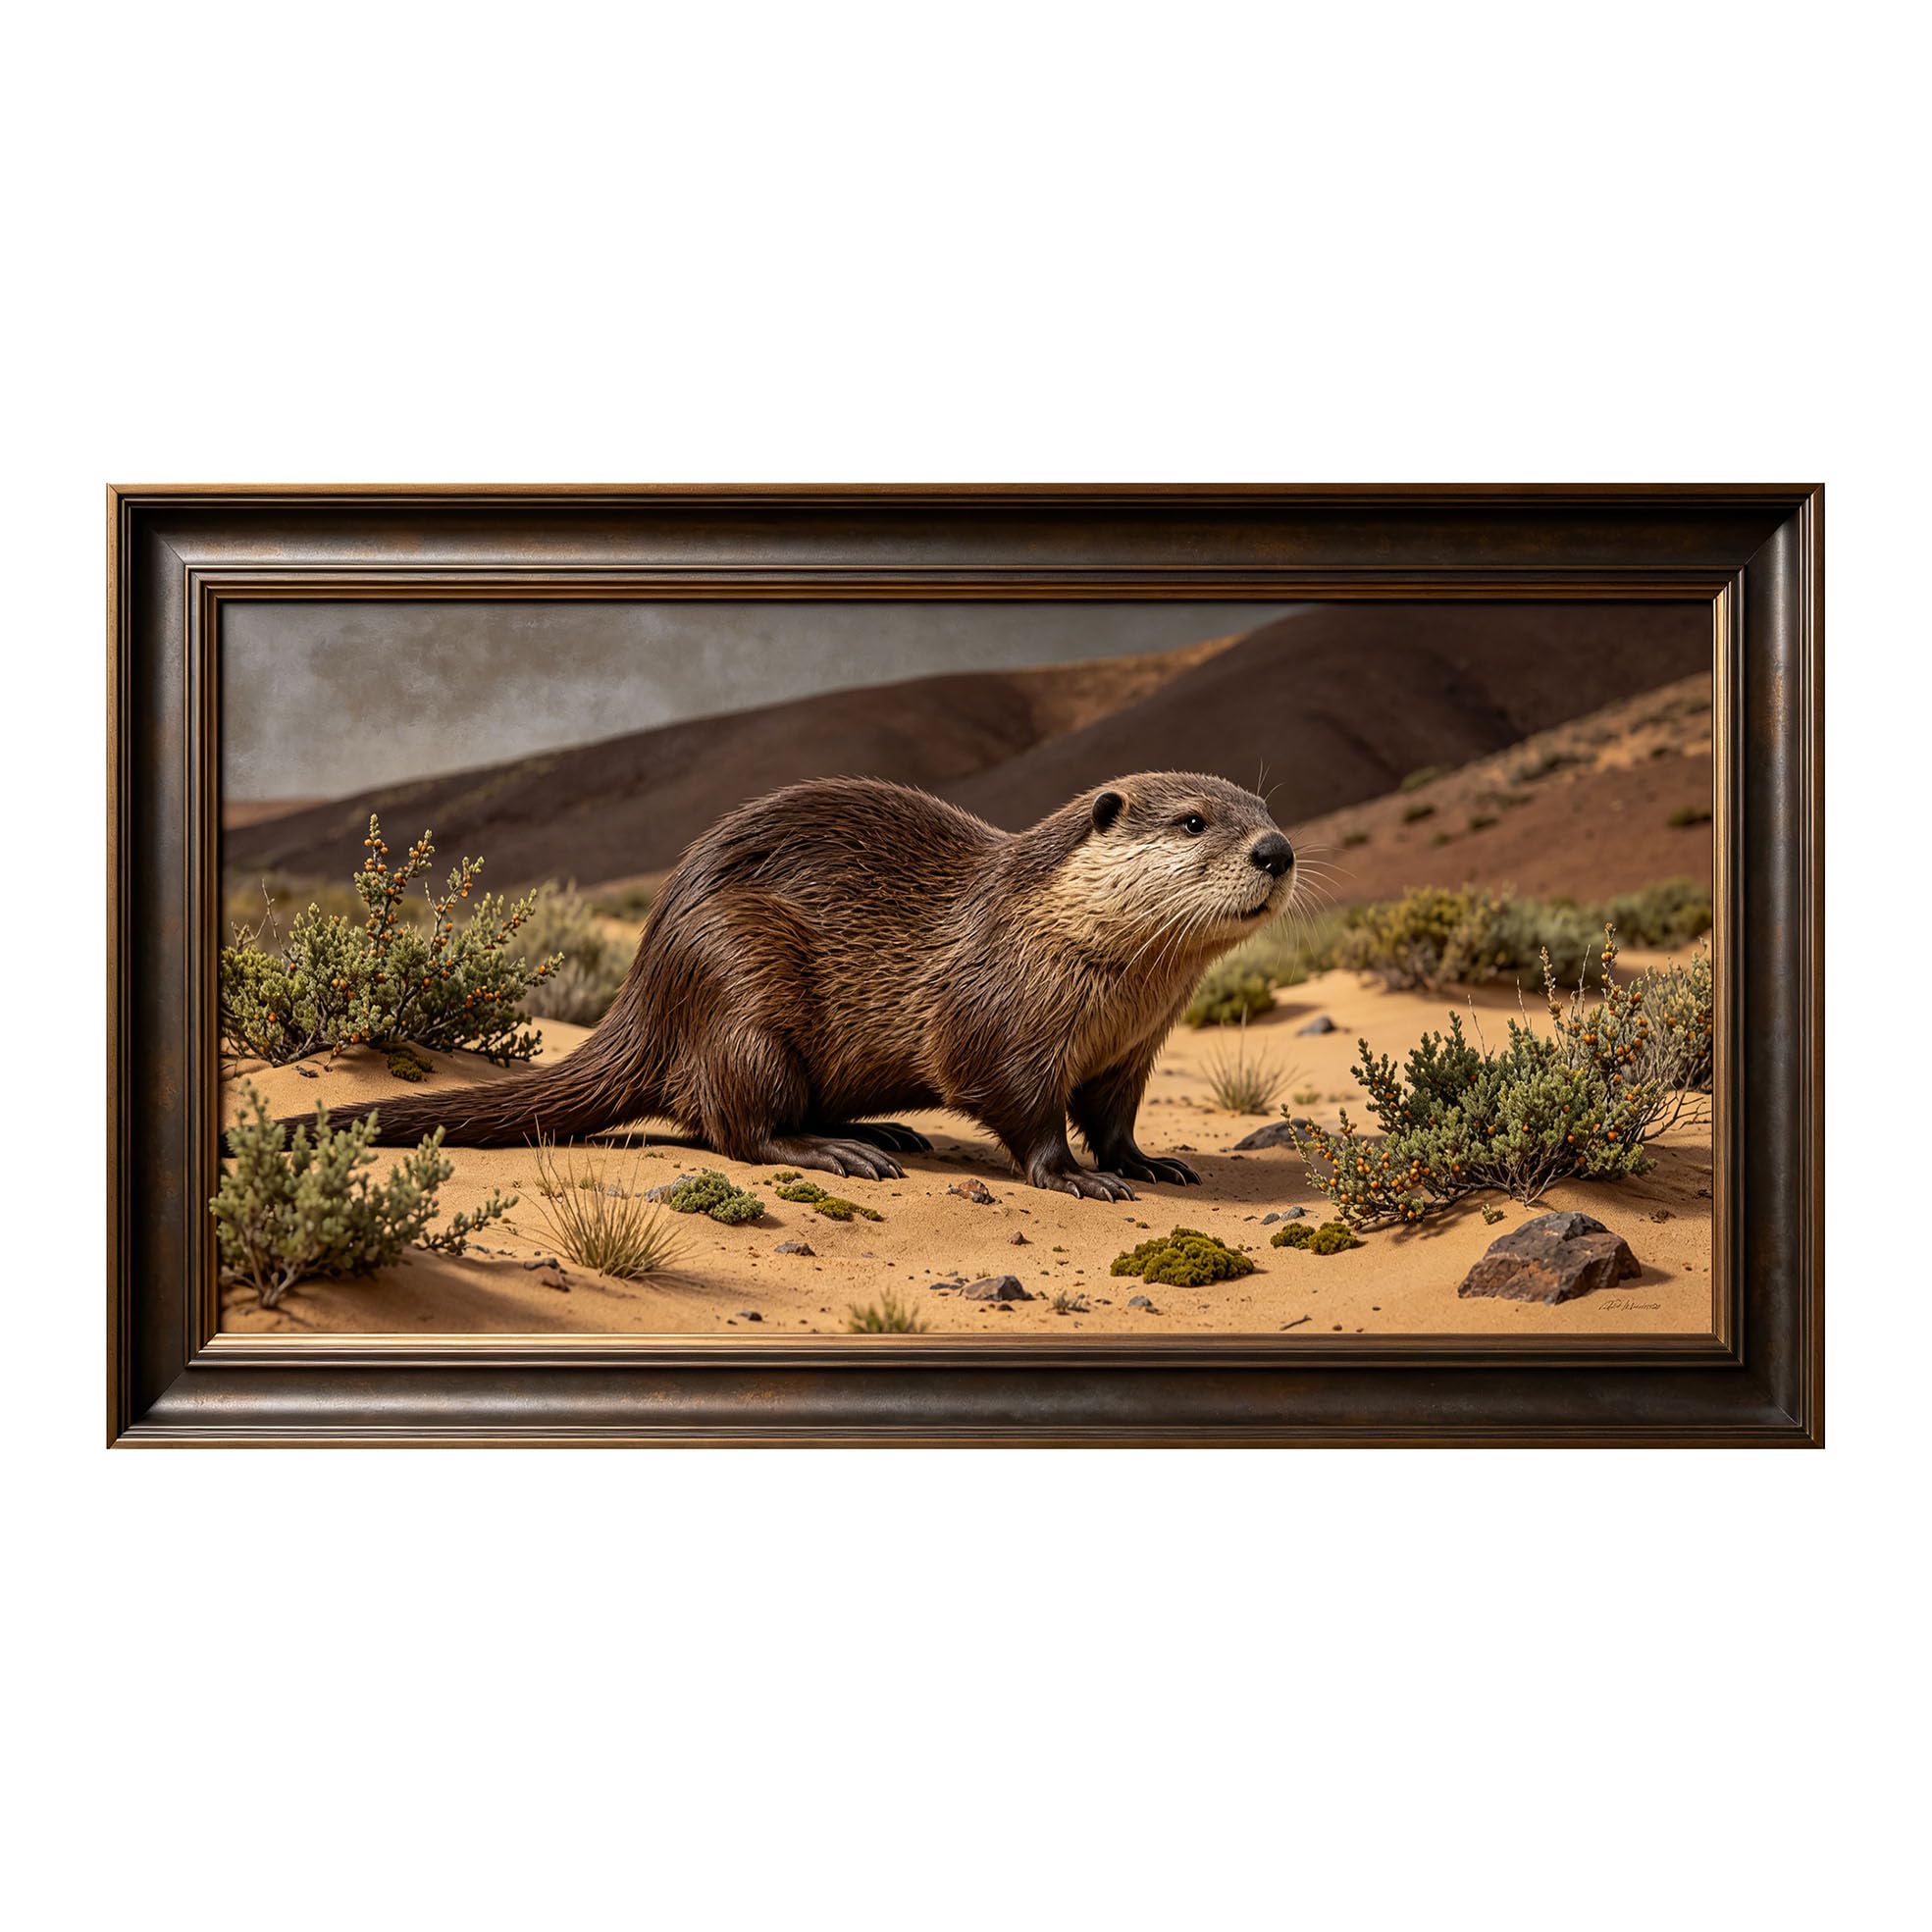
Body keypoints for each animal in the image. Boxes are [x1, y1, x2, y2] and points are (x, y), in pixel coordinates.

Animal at [308, 773, 1296, 1200]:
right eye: (1194, 820)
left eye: (1266, 809)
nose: (1277, 849)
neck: (1043, 926)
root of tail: (645, 991)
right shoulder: (991, 1015)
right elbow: (1012, 1100)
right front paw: (1074, 1178)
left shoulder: (1131, 1048)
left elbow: (1114, 1115)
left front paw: (1146, 1162)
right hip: (737, 979)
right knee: (736, 1127)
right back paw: (840, 1152)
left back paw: (882, 1130)